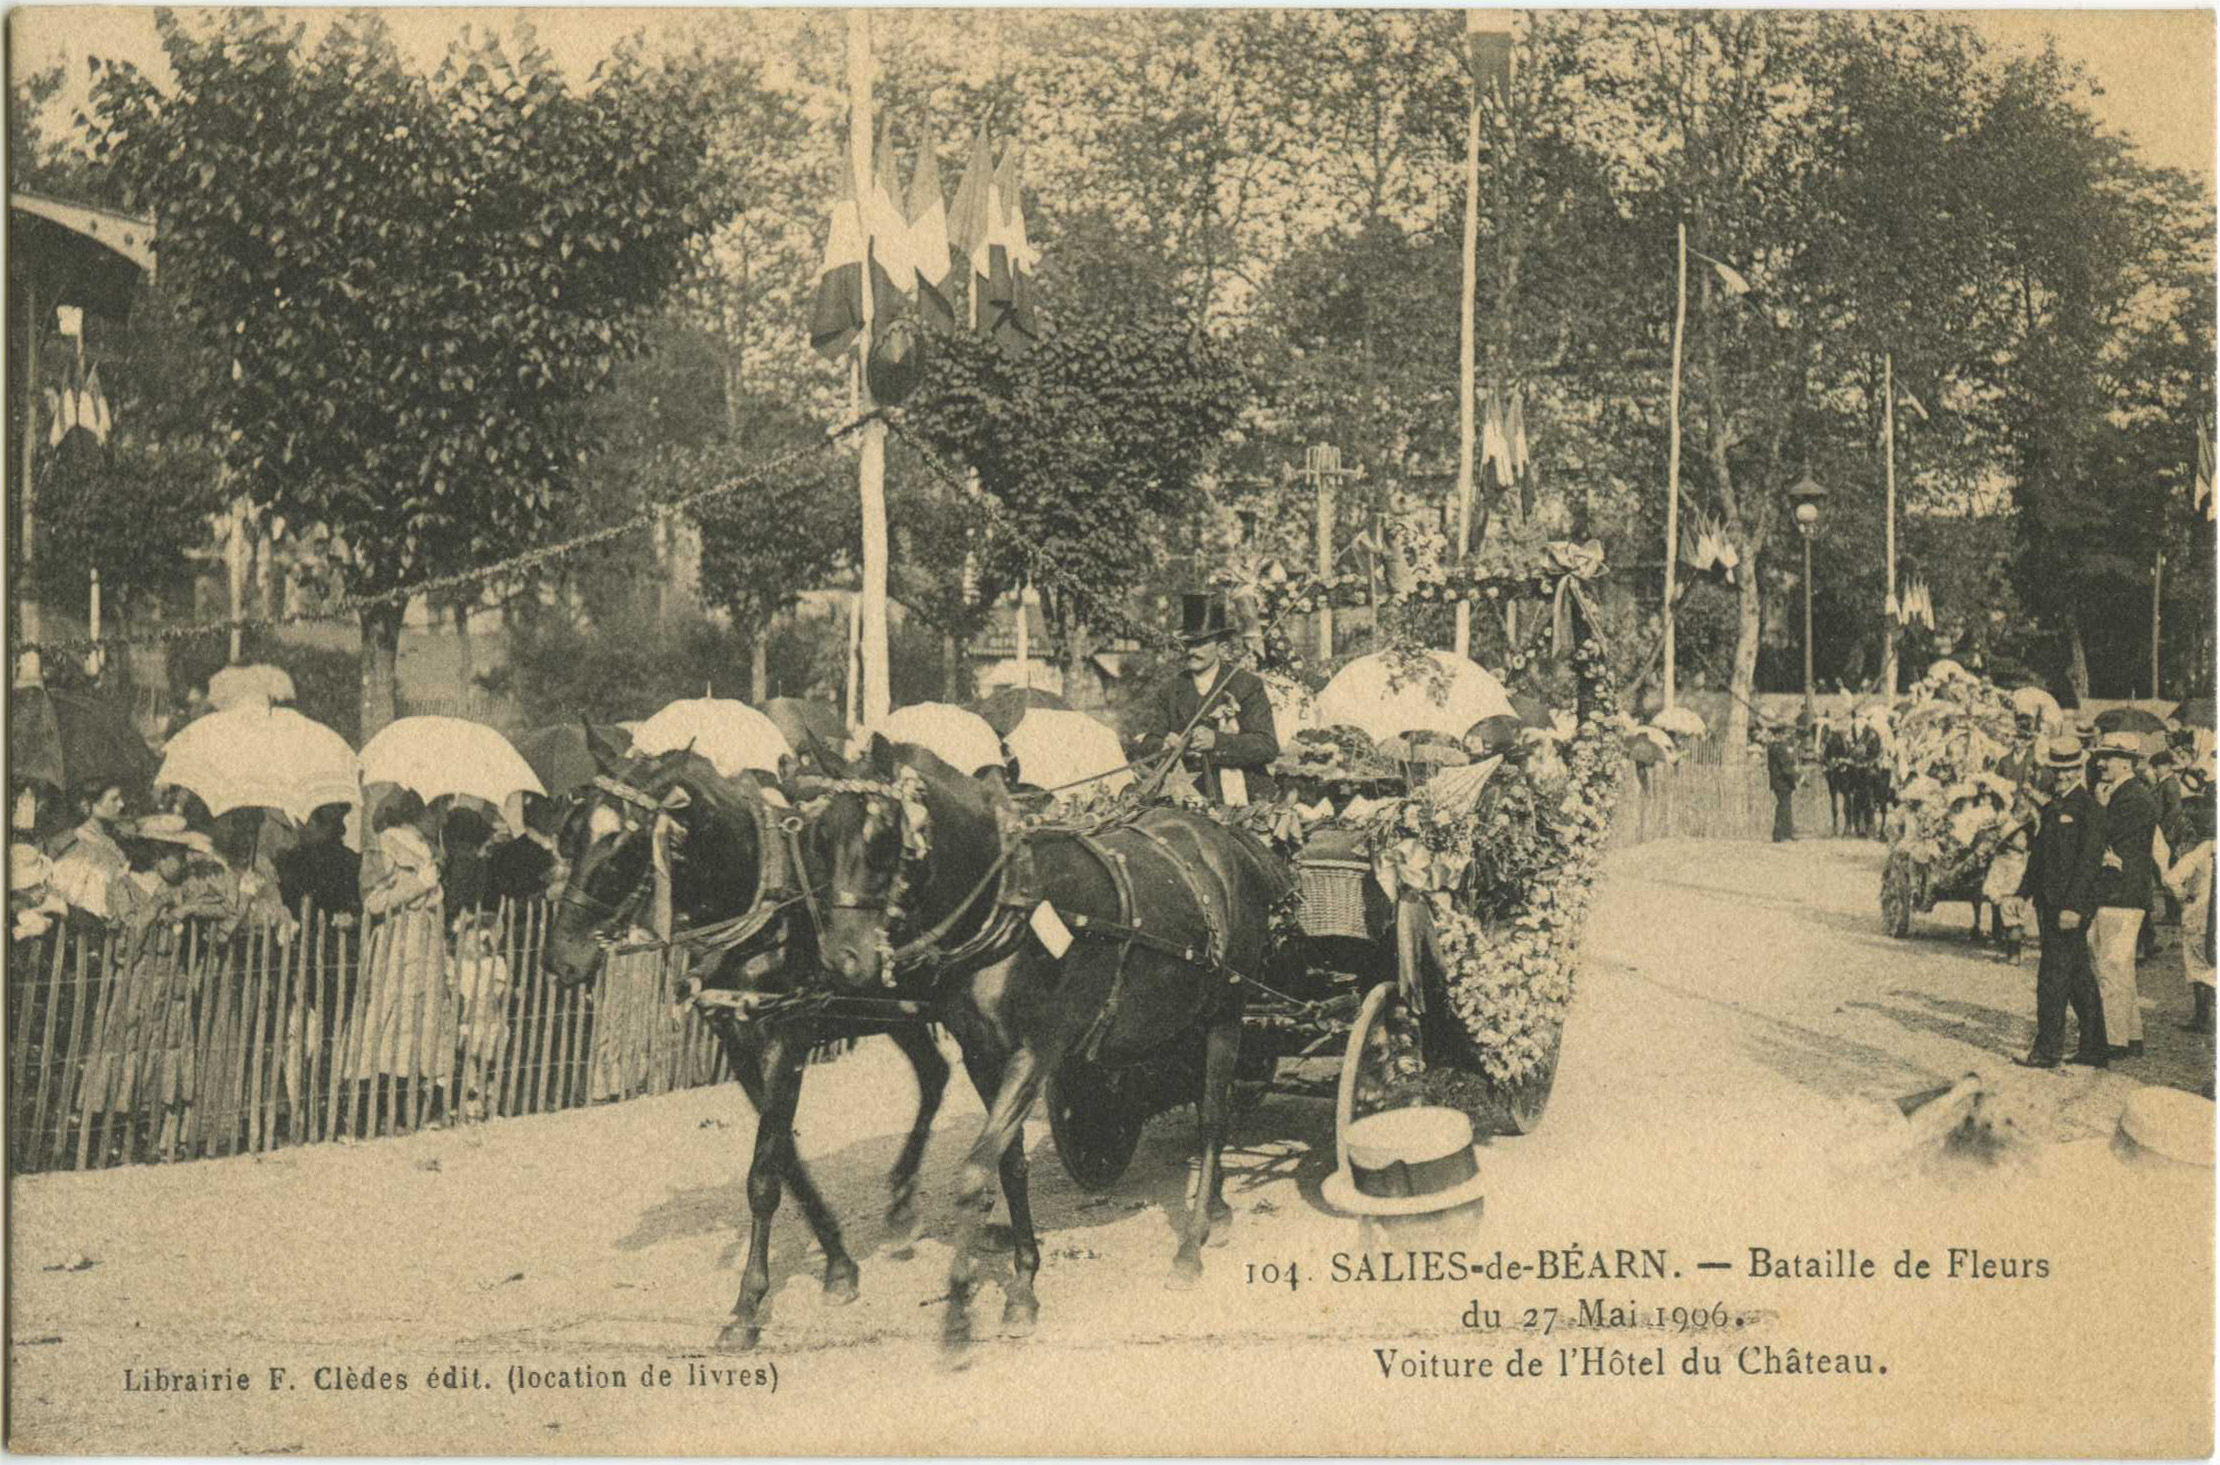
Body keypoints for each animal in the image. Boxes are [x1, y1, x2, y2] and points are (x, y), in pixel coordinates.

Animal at [546, 728, 954, 1358]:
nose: (561, 959)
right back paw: (903, 1200)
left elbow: (764, 1174)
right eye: (571, 832)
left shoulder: (788, 1034)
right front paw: (839, 1263)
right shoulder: (737, 1040)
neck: (757, 898)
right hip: (893, 1005)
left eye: (624, 845)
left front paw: (746, 1305)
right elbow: (784, 1157)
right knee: (935, 1074)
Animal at [799, 732, 1296, 1349]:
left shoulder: (1035, 1053)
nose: (842, 960)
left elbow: (973, 1172)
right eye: (821, 837)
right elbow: (1008, 1165)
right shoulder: (983, 1057)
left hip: (1227, 1009)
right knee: (1206, 1103)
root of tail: (1225, 836)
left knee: (1212, 1119)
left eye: (884, 837)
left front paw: (960, 1309)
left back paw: (1191, 1245)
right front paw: (1024, 1283)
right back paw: (1219, 1210)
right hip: (1183, 1017)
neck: (1007, 907)